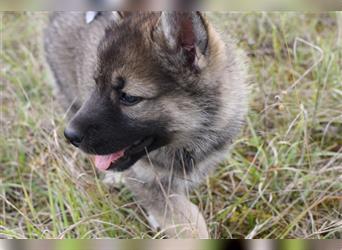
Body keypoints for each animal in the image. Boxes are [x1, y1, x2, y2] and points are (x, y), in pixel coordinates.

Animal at [44, 11, 248, 238]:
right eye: (96, 84)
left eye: (129, 97)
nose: (69, 135)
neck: (188, 138)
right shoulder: (149, 182)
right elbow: (187, 221)